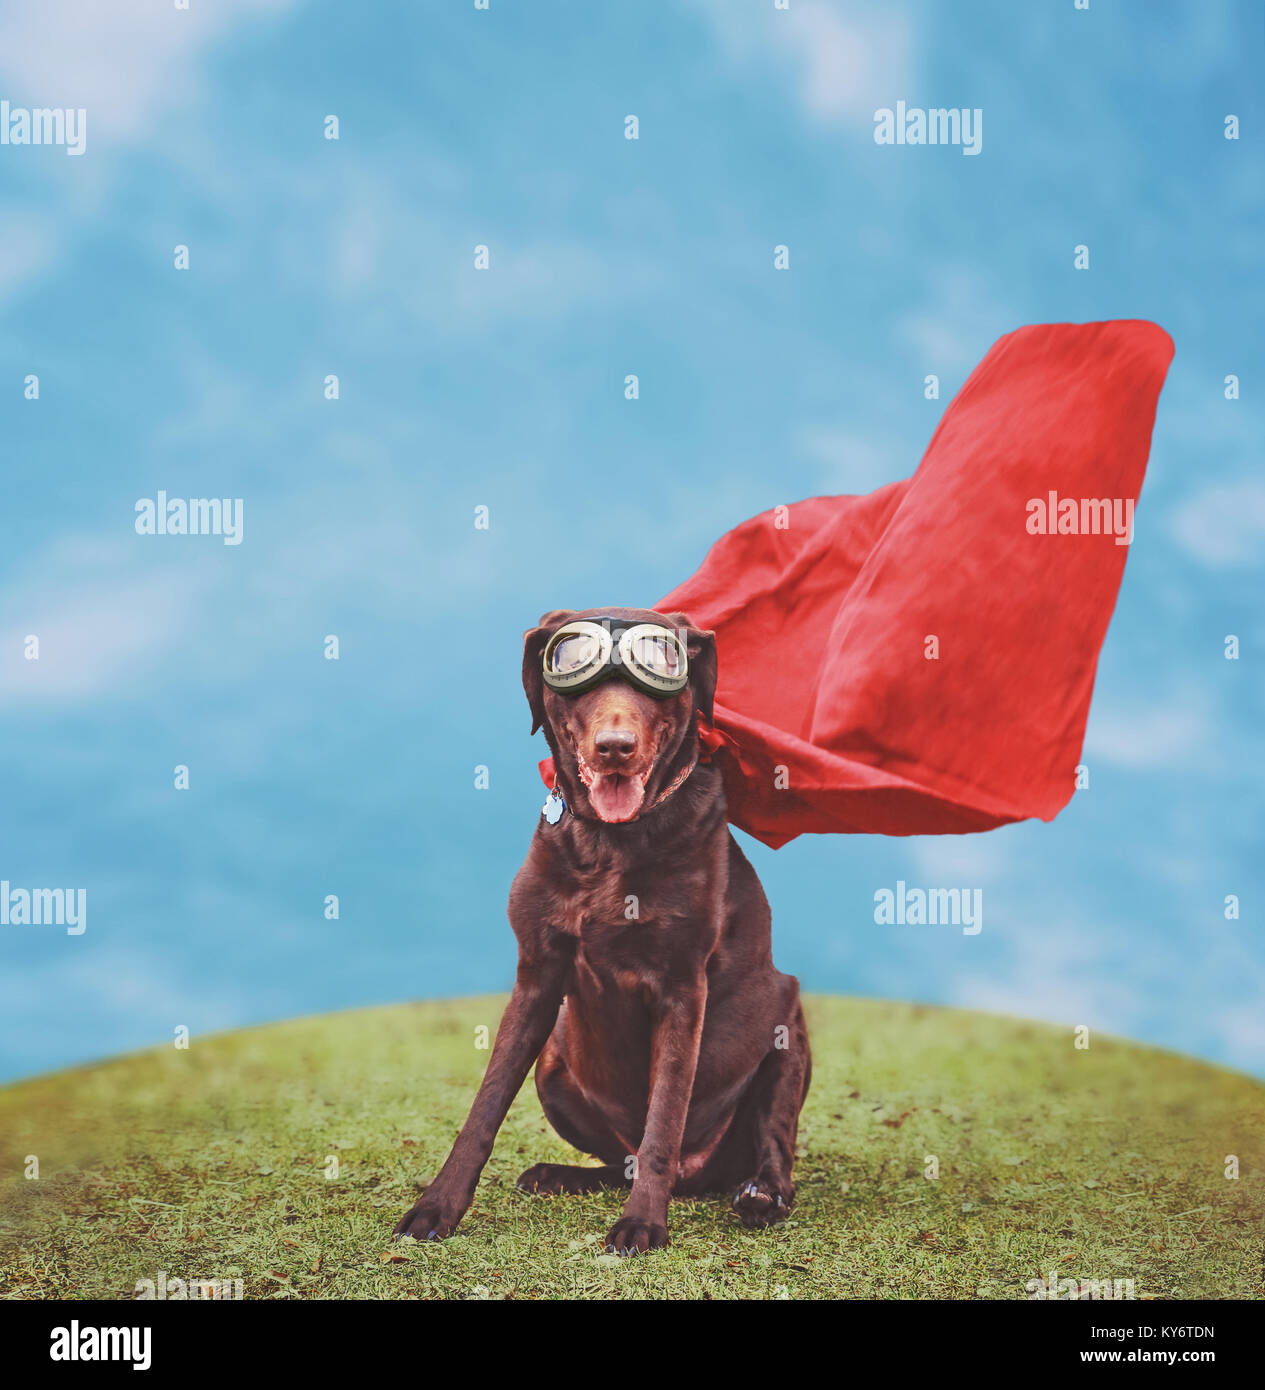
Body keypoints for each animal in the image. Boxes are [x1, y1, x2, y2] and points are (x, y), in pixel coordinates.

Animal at [394, 603, 811, 1256]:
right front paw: (437, 1207)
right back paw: (557, 1175)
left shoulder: (682, 989)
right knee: (621, 1162)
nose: (616, 747)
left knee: (765, 1149)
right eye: (577, 672)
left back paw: (759, 1195)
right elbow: (484, 1107)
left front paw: (642, 1224)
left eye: (659, 670)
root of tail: (702, 1176)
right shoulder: (537, 976)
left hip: (788, 1028)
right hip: (555, 1061)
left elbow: (665, 1114)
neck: (609, 844)